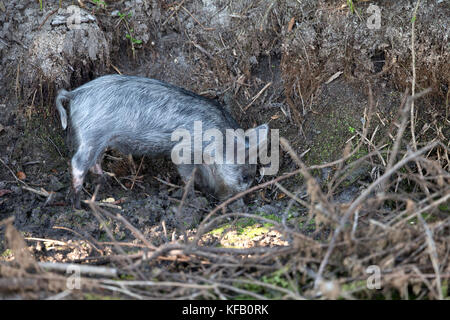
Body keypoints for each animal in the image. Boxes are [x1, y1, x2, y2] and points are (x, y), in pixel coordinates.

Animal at [55, 74, 268, 208]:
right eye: (245, 177)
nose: (243, 204)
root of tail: (75, 94)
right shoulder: (183, 151)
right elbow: (188, 177)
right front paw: (193, 200)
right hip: (93, 134)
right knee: (78, 163)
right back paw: (77, 204)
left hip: (99, 139)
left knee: (95, 161)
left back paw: (105, 183)